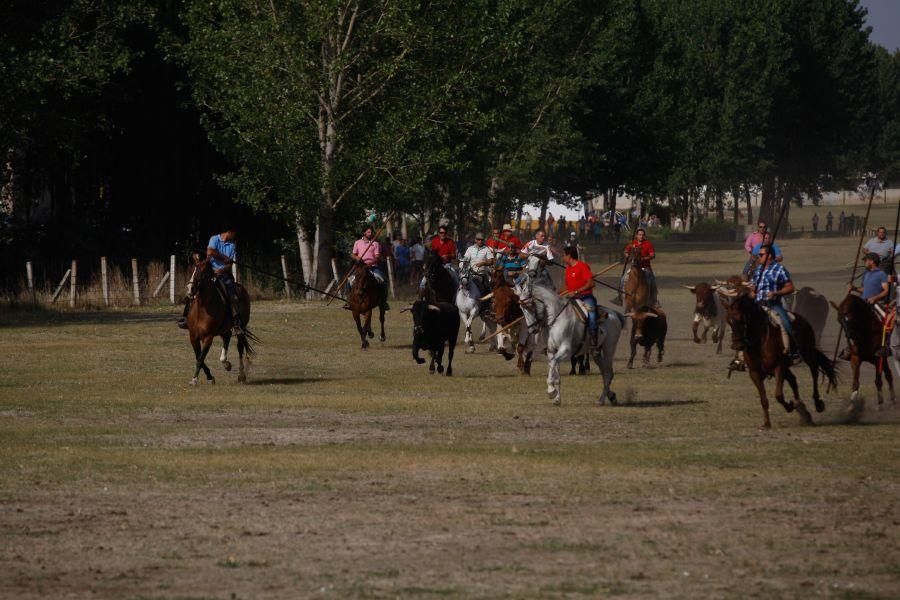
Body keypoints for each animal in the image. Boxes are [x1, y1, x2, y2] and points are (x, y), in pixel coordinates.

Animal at [185, 255, 256, 386]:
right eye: (192, 269)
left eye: (202, 272)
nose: (190, 289)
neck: (202, 309)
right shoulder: (193, 337)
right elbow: (199, 357)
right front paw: (209, 377)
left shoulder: (208, 337)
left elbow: (201, 358)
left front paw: (195, 379)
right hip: (224, 329)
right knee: (227, 337)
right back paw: (226, 364)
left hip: (240, 327)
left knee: (240, 347)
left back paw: (241, 375)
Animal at [512, 266, 624, 404]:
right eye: (521, 309)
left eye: (529, 306)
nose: (532, 329)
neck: (557, 318)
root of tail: (614, 314)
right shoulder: (552, 350)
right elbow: (556, 374)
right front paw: (557, 399)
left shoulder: (565, 350)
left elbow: (553, 364)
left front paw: (551, 391)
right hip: (596, 352)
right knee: (605, 372)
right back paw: (609, 396)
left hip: (609, 348)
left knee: (608, 373)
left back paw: (602, 399)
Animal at [716, 292, 836, 428]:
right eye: (728, 321)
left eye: (742, 319)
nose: (738, 346)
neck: (759, 341)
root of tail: (804, 320)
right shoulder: (755, 373)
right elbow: (764, 399)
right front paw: (767, 423)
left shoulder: (778, 368)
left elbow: (778, 395)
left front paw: (791, 406)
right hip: (787, 366)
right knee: (793, 380)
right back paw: (803, 410)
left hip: (807, 354)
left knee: (814, 372)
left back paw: (817, 403)